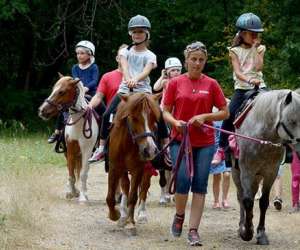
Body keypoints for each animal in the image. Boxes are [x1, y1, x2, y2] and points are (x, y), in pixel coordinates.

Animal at [38, 73, 99, 202]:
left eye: (62, 92)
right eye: (53, 89)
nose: (42, 110)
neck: (79, 123)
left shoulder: (86, 151)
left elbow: (83, 173)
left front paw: (83, 196)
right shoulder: (70, 150)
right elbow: (71, 173)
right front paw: (72, 192)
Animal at [106, 93, 162, 233]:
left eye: (154, 118)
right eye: (134, 118)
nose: (150, 150)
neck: (128, 143)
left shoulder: (138, 169)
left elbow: (133, 196)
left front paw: (130, 222)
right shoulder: (115, 167)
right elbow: (110, 197)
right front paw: (116, 215)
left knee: (144, 188)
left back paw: (141, 214)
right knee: (126, 186)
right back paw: (123, 215)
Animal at [233, 89, 300, 244]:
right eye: (292, 121)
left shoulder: (271, 173)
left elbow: (263, 202)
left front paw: (260, 233)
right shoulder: (247, 171)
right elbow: (247, 201)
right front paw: (247, 232)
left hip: (257, 177)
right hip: (236, 173)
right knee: (241, 197)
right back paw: (241, 226)